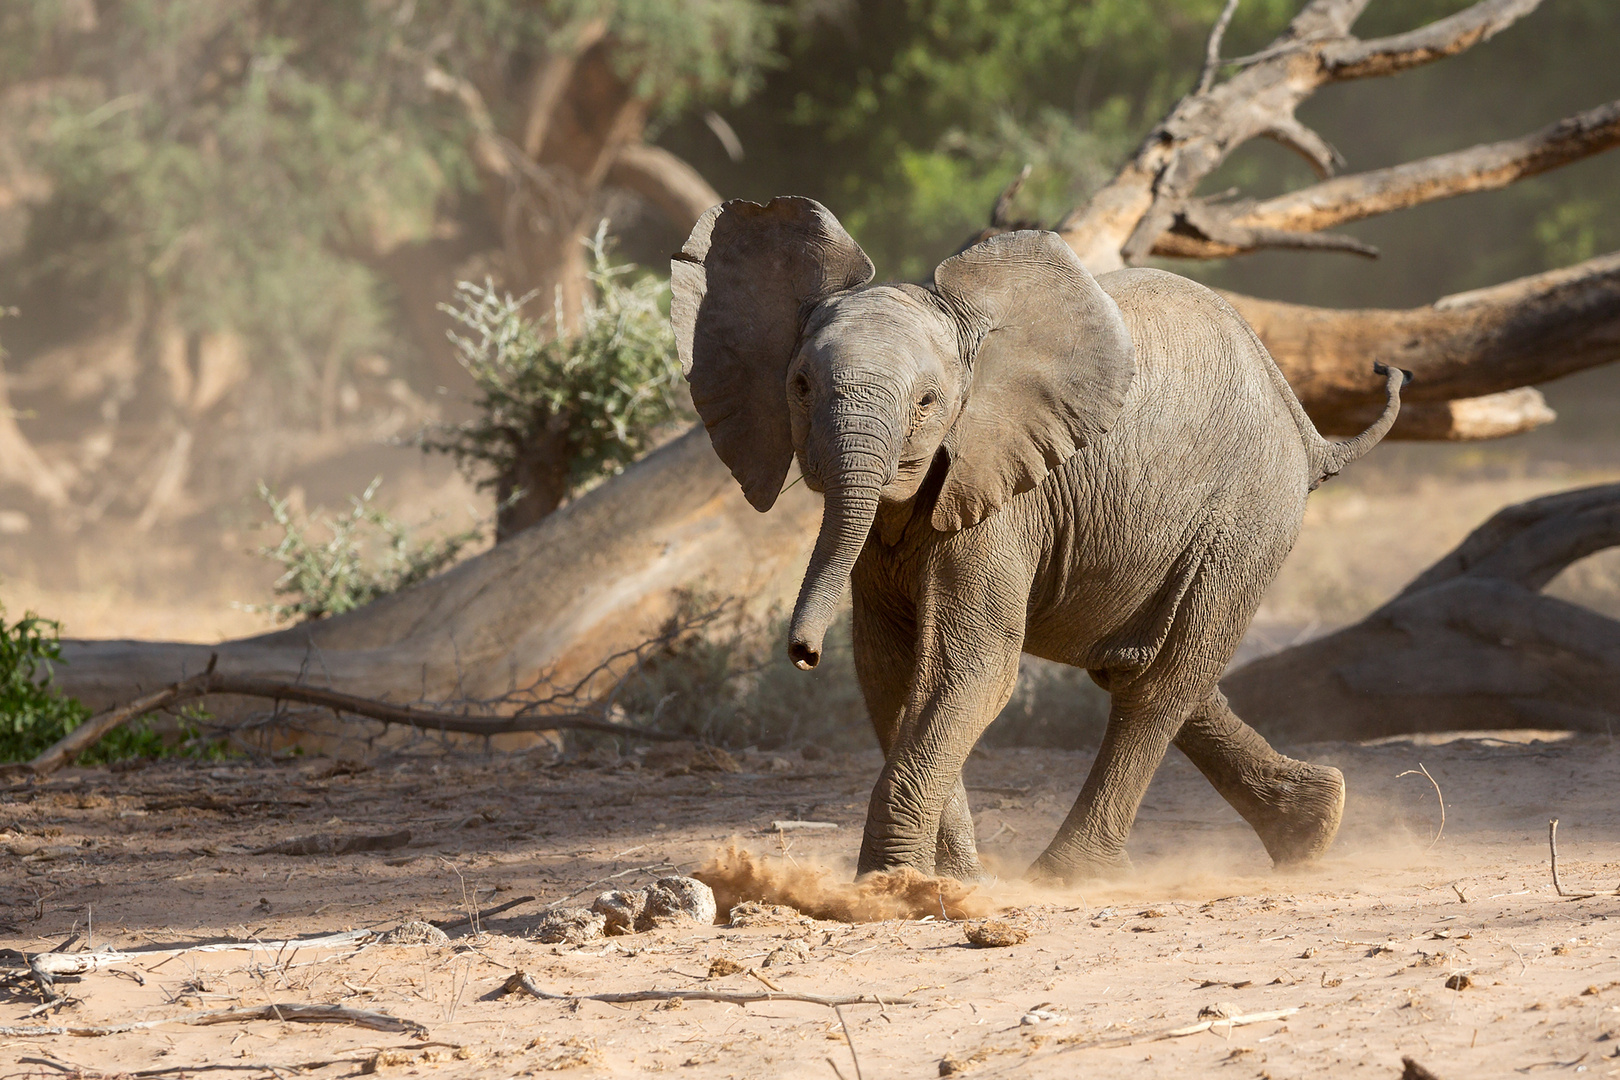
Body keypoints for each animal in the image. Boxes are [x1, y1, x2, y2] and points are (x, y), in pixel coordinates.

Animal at [673, 198, 1406, 880]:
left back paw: (1068, 876)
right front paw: (952, 881)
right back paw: (1314, 826)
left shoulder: (1002, 494)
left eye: (927, 403)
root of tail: (1306, 429)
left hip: (1246, 519)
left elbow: (967, 668)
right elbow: (890, 674)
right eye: (799, 386)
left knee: (1160, 683)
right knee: (1141, 663)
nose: (803, 653)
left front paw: (888, 885)